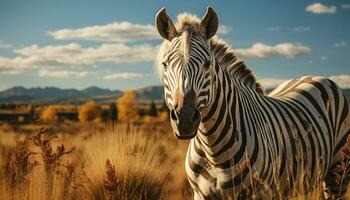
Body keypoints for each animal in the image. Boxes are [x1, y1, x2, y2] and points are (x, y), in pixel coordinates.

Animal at [155, 6, 350, 200]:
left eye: (207, 64)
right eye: (165, 64)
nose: (185, 120)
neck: (212, 151)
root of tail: (315, 77)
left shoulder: (262, 192)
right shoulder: (200, 194)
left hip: (338, 171)